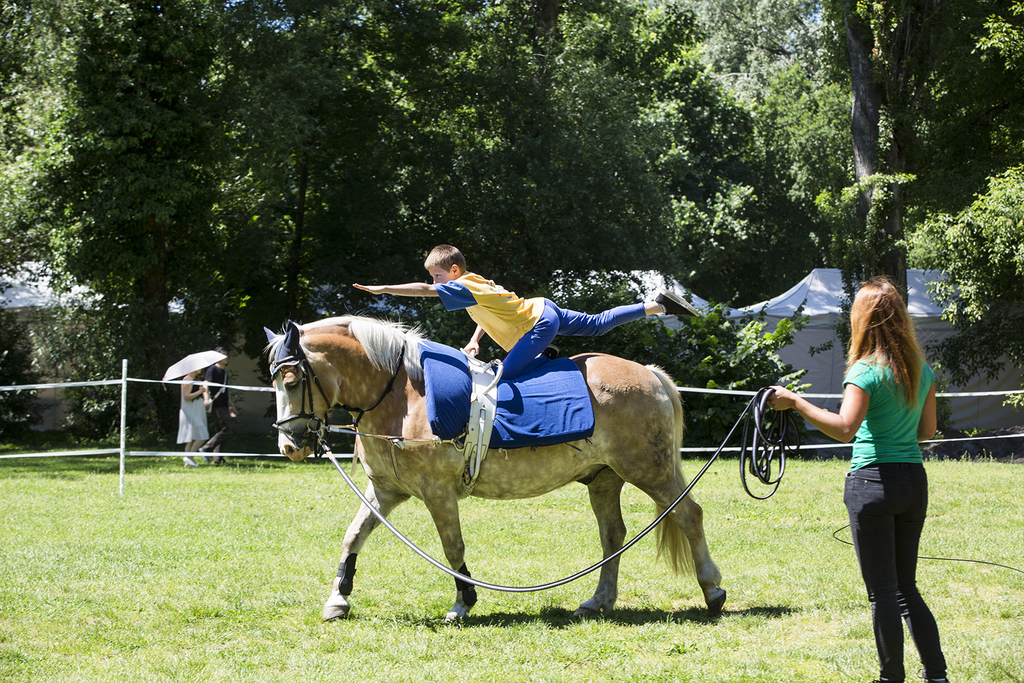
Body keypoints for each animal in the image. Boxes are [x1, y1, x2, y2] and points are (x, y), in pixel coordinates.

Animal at [268, 317, 724, 622]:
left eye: (291, 382)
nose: (289, 446)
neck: (402, 395)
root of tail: (650, 374)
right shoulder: (385, 490)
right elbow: (353, 536)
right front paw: (338, 599)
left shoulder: (437, 492)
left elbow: (452, 548)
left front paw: (462, 603)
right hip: (604, 479)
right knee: (613, 535)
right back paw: (598, 601)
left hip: (650, 470)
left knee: (689, 515)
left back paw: (713, 590)